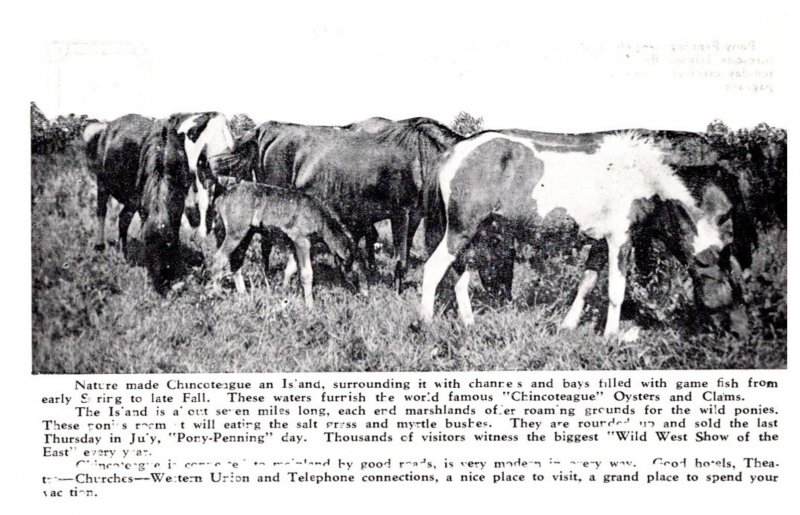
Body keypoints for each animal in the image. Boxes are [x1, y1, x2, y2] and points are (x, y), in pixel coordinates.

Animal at [208, 181, 368, 306]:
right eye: (356, 273)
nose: (365, 295)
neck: (321, 218)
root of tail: (222, 197)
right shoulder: (301, 240)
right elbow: (306, 273)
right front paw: (310, 306)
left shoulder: (294, 244)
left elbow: (290, 269)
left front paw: (284, 292)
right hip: (235, 233)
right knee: (219, 258)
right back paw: (218, 294)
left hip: (247, 233)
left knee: (236, 261)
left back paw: (243, 294)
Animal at [422, 130, 748, 338]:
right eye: (733, 287)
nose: (741, 333)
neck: (640, 176)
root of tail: (454, 151)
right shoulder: (619, 240)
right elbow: (616, 291)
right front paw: (610, 336)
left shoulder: (600, 244)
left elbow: (587, 284)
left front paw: (568, 326)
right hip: (462, 230)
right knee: (433, 269)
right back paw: (425, 323)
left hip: (473, 234)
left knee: (460, 276)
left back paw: (468, 323)